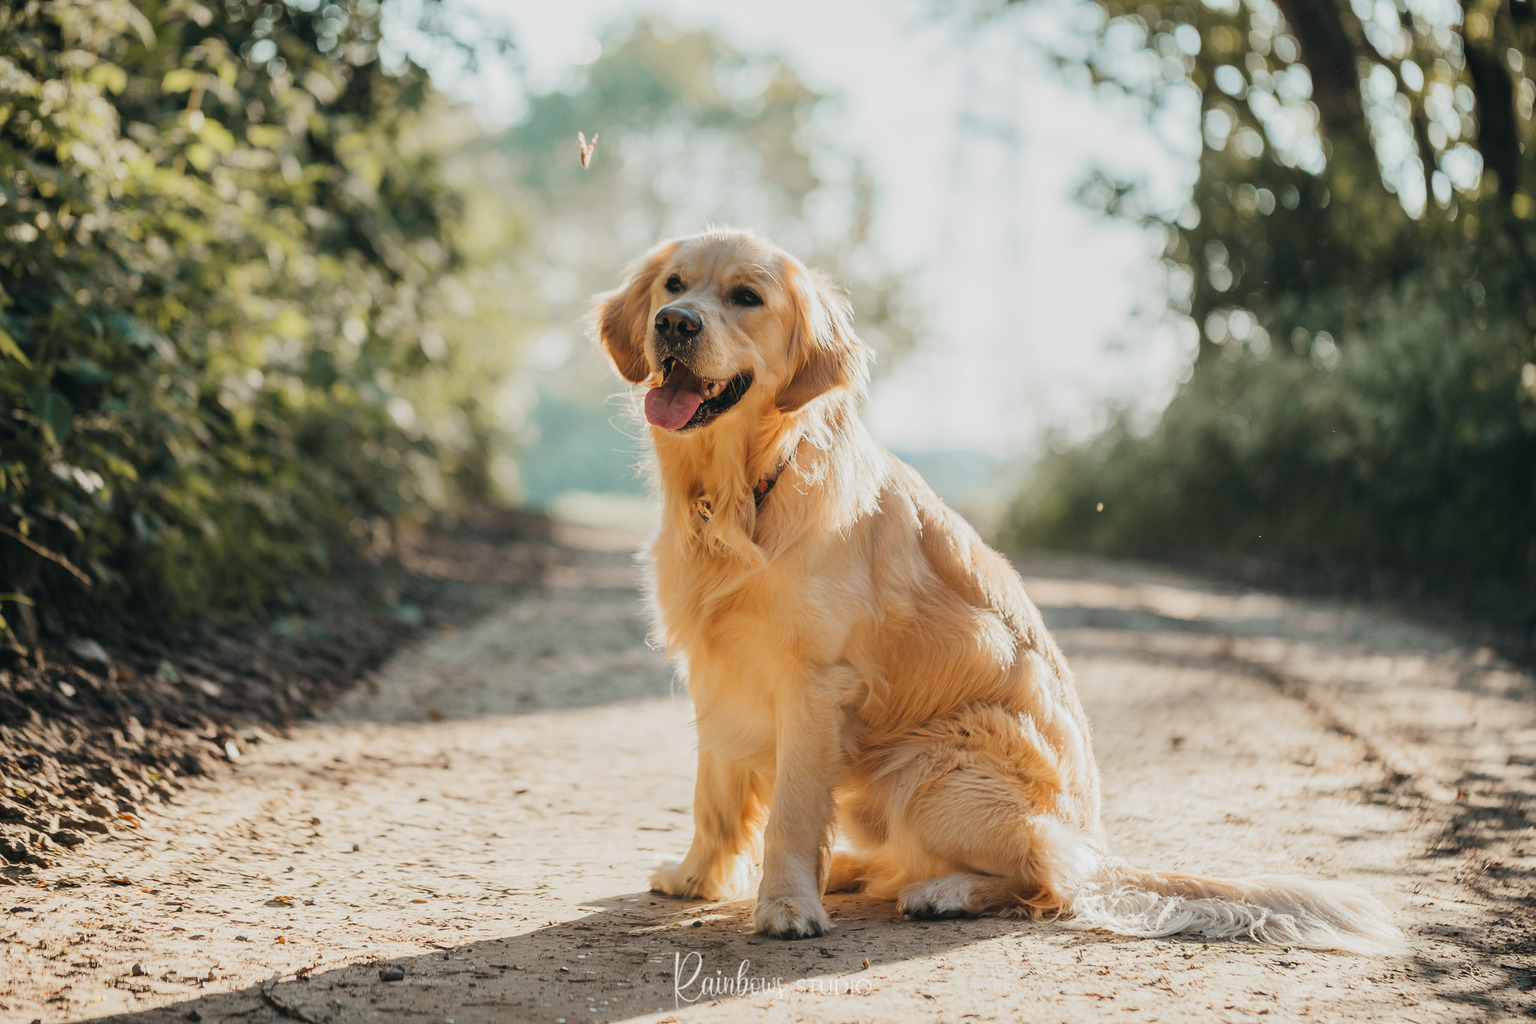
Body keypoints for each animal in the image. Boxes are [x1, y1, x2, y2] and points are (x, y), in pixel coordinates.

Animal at [589, 228, 1406, 957]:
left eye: (747, 297)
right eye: (674, 285)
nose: (674, 324)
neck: (743, 494)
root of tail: (1097, 843)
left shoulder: (813, 683)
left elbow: (789, 810)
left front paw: (787, 904)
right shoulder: (717, 669)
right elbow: (715, 795)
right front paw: (697, 877)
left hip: (933, 770)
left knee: (1048, 877)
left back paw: (942, 890)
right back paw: (854, 868)